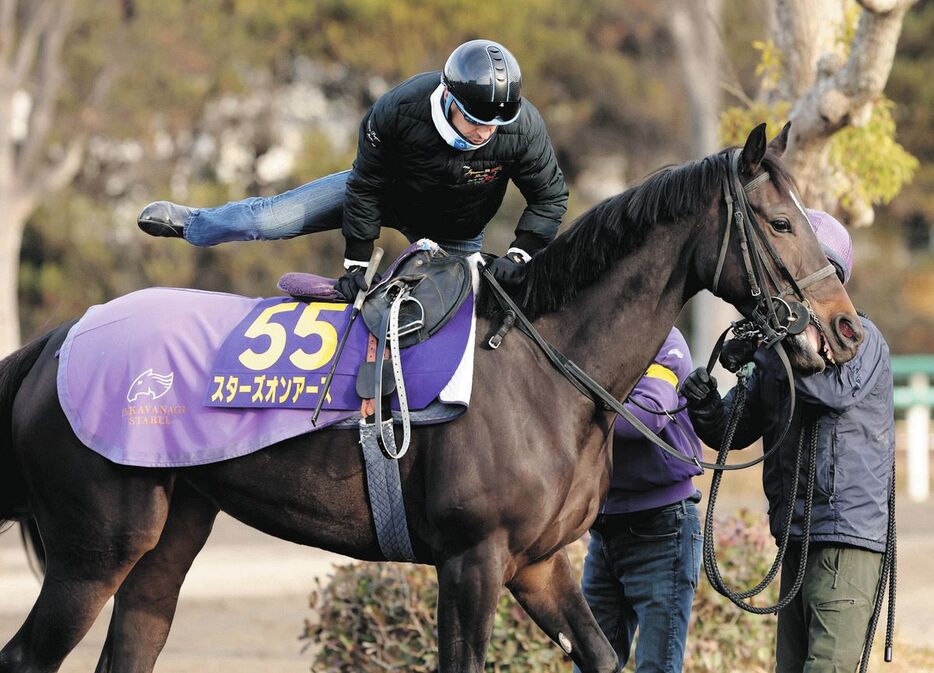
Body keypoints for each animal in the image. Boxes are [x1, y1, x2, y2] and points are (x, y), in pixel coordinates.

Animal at [0, 122, 864, 672]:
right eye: (779, 221)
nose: (845, 329)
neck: (543, 369)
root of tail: (58, 337)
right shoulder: (472, 558)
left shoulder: (537, 563)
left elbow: (602, 654)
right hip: (92, 550)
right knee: (27, 654)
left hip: (169, 531)